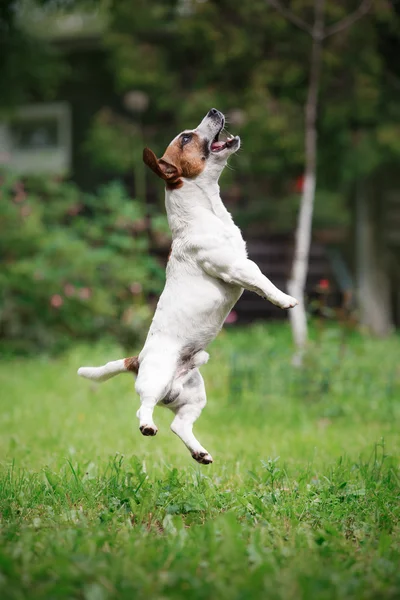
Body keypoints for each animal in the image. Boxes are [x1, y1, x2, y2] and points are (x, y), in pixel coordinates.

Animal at [79, 108, 296, 464]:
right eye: (185, 138)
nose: (214, 110)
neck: (205, 210)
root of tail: (137, 360)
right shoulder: (235, 266)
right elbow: (261, 278)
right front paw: (285, 299)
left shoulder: (239, 262)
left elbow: (258, 280)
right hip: (156, 380)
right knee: (144, 408)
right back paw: (148, 426)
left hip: (194, 396)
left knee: (179, 426)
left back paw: (199, 453)